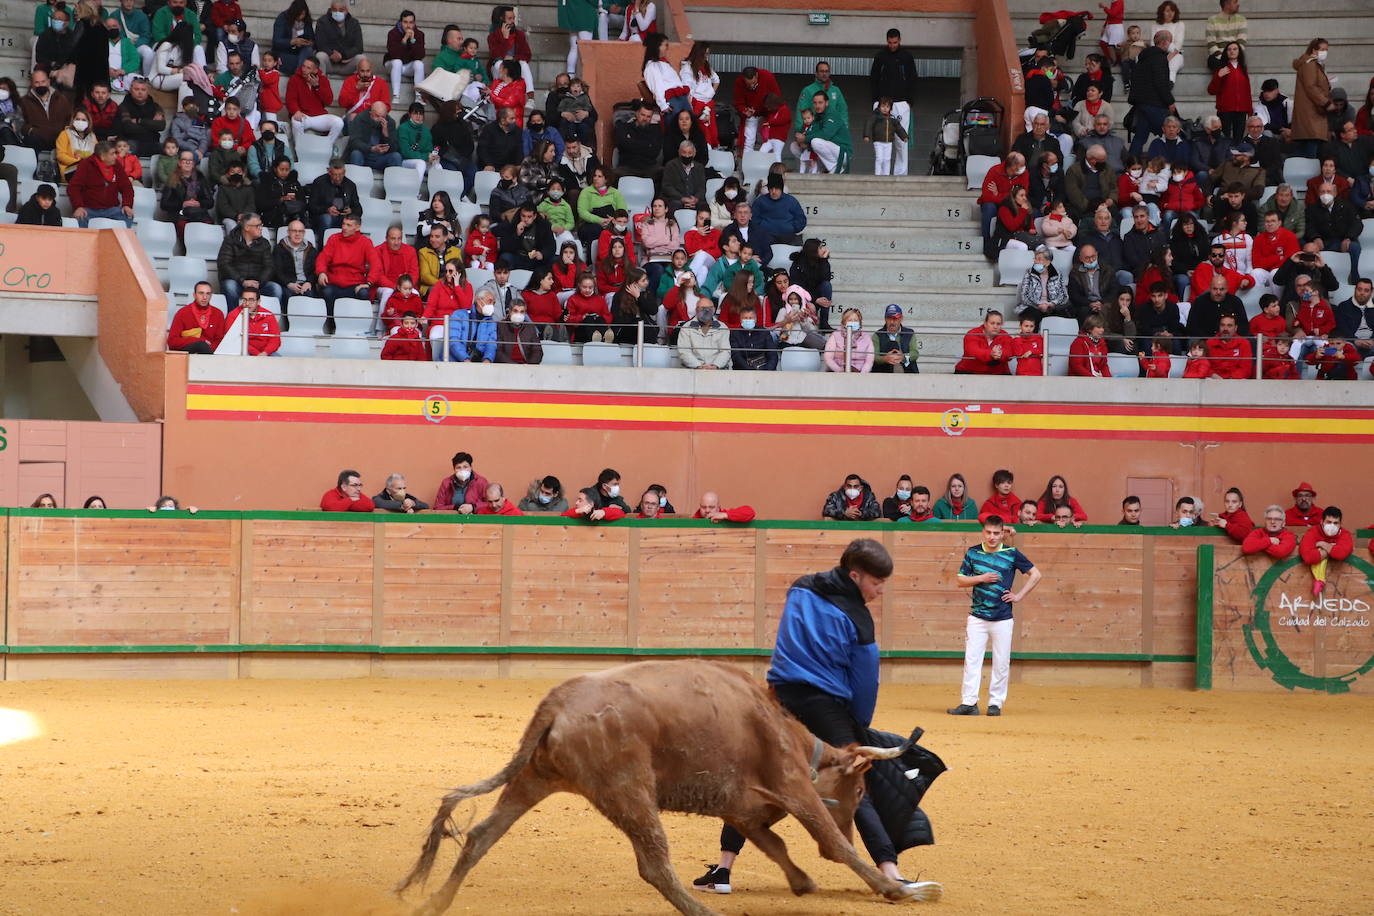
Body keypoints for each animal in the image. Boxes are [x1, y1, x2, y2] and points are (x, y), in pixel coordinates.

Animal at [392, 659, 939, 916]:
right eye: (860, 794)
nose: (853, 822)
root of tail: (558, 701)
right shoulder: (791, 787)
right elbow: (827, 843)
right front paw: (894, 889)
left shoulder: (742, 807)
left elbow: (773, 843)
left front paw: (802, 881)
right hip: (629, 791)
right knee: (654, 865)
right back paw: (703, 911)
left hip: (536, 778)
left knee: (481, 836)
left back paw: (433, 902)